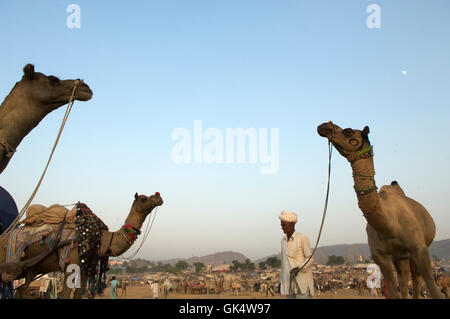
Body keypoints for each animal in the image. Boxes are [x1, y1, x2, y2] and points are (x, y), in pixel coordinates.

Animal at [0, 192, 163, 300]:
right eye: (144, 198)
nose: (158, 197)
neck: (100, 238)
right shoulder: (70, 266)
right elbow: (66, 295)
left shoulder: (85, 268)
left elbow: (79, 294)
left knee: (22, 291)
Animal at [316, 122, 442, 300]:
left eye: (348, 131)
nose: (324, 126)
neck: (389, 223)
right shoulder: (380, 256)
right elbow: (394, 293)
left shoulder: (419, 248)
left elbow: (434, 290)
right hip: (399, 256)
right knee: (404, 280)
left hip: (413, 252)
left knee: (416, 280)